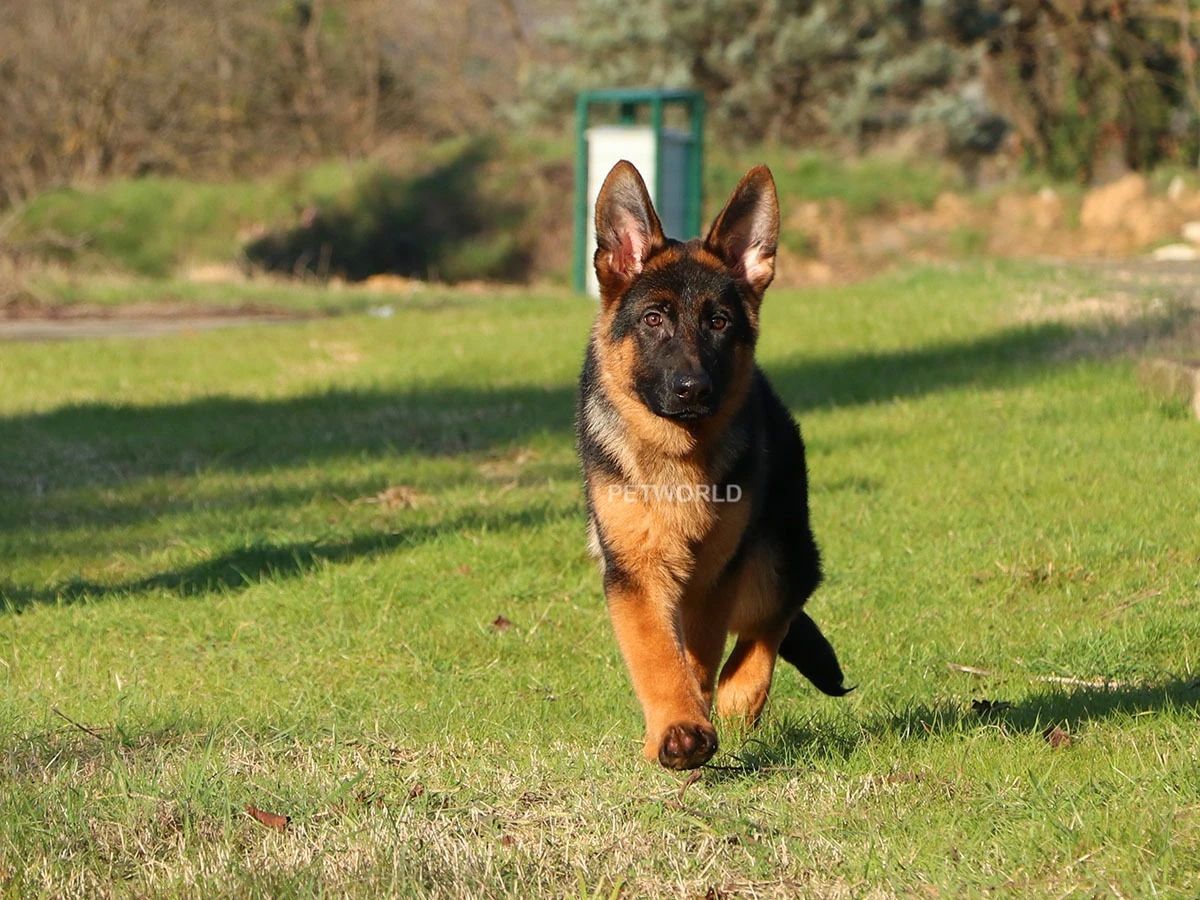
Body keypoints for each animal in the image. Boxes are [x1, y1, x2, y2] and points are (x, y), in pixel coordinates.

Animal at [576, 160, 849, 768]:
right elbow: (657, 653)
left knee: (777, 611)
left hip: (774, 554)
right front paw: (678, 727)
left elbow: (700, 652)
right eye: (654, 319)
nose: (692, 389)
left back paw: (741, 693)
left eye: (720, 323)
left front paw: (704, 708)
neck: (678, 455)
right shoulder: (635, 572)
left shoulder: (718, 569)